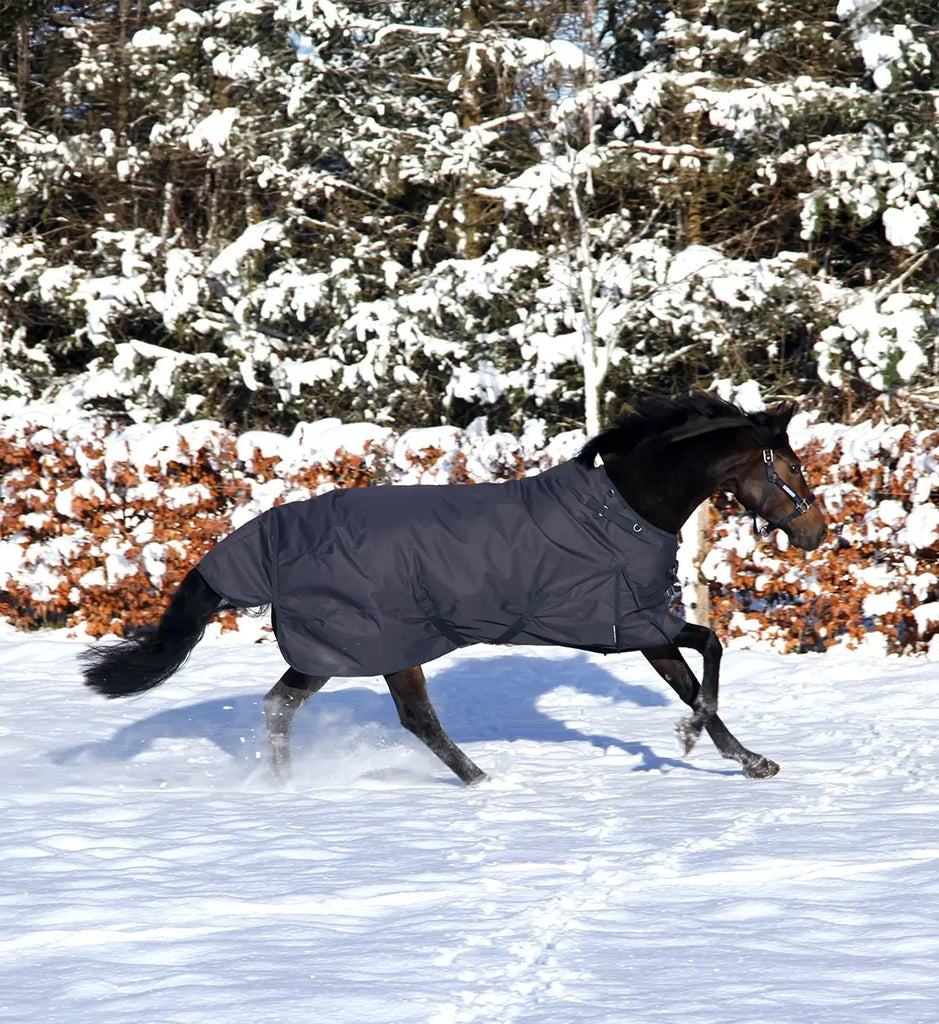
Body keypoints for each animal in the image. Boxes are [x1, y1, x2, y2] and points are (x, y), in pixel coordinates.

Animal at [82, 395, 827, 778]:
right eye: (791, 466)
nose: (817, 531)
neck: (624, 509)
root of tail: (263, 544)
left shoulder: (639, 627)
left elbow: (695, 676)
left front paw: (747, 760)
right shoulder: (631, 625)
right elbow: (709, 660)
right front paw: (694, 740)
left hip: (338, 651)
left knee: (279, 707)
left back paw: (285, 783)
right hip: (381, 645)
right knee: (414, 719)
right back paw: (479, 780)